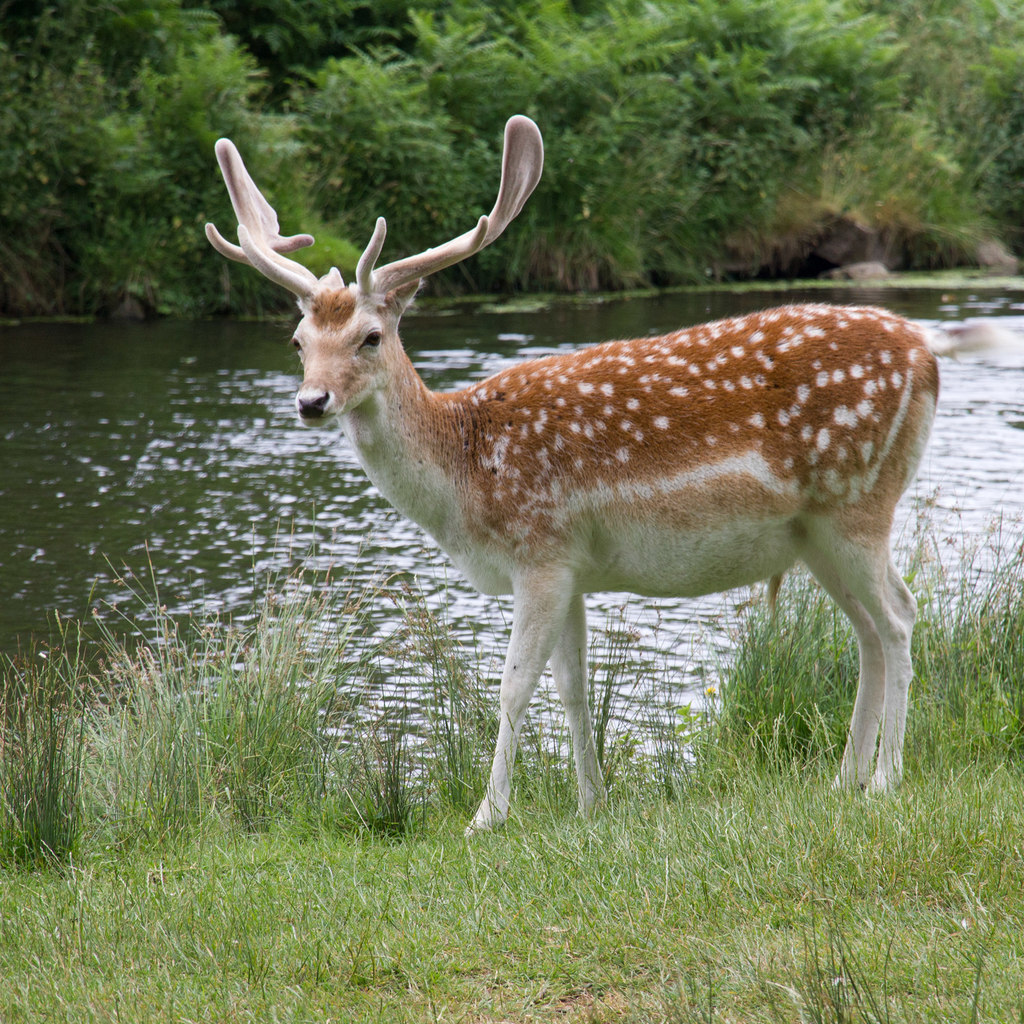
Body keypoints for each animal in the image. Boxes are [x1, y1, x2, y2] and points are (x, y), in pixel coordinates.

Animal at [205, 114, 937, 831]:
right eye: (298, 342)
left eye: (370, 336)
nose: (311, 401)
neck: (465, 477)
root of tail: (926, 357)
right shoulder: (574, 567)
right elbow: (573, 686)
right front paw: (592, 802)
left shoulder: (541, 550)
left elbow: (513, 682)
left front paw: (486, 817)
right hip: (815, 534)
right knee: (868, 631)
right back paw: (845, 778)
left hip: (858, 503)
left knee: (900, 617)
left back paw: (886, 780)